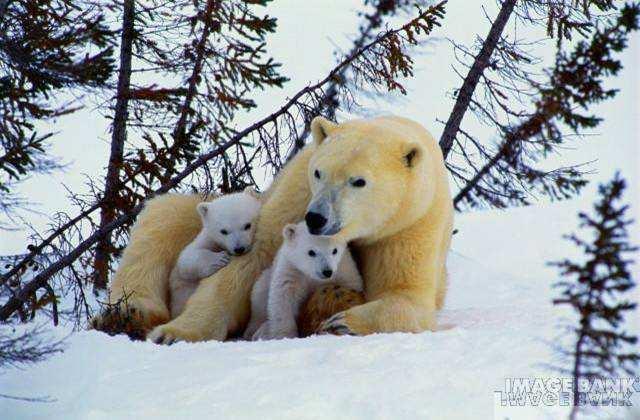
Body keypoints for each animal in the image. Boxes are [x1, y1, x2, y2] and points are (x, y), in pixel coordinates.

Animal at [94, 115, 456, 344]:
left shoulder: (411, 224)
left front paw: (343, 321)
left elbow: (407, 296)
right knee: (163, 219)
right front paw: (174, 334)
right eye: (319, 172)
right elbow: (250, 261)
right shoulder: (297, 193)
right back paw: (126, 314)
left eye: (358, 181)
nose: (316, 218)